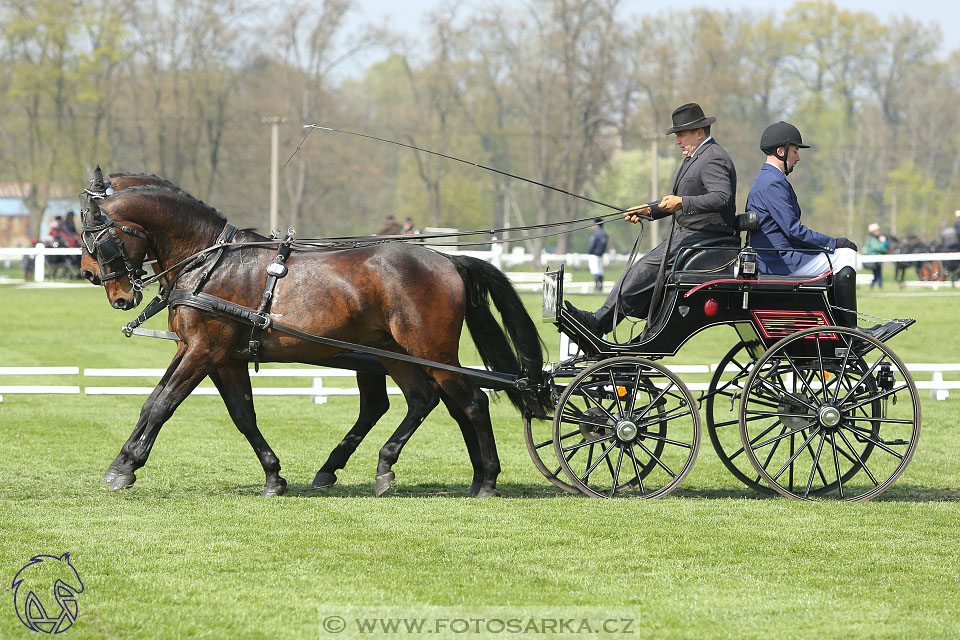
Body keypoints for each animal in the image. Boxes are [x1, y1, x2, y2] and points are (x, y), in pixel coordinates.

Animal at [79, 178, 552, 498]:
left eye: (98, 241)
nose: (108, 289)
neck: (210, 260)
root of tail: (446, 259)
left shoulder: (204, 351)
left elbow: (163, 405)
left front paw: (125, 469)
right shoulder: (214, 355)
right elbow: (234, 414)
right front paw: (273, 475)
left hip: (430, 349)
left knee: (470, 401)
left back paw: (486, 479)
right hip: (395, 353)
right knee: (426, 400)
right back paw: (392, 467)